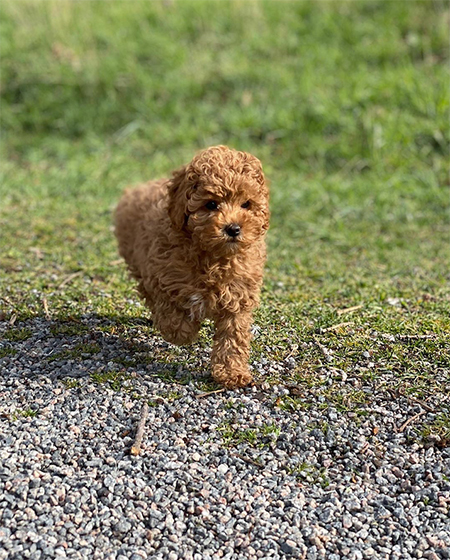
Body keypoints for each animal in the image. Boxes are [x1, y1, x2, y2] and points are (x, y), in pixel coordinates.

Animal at [116, 147, 268, 388]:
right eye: (211, 204)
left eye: (246, 204)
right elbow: (172, 316)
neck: (214, 257)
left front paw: (231, 372)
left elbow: (233, 337)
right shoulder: (163, 277)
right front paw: (185, 331)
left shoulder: (238, 296)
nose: (233, 228)